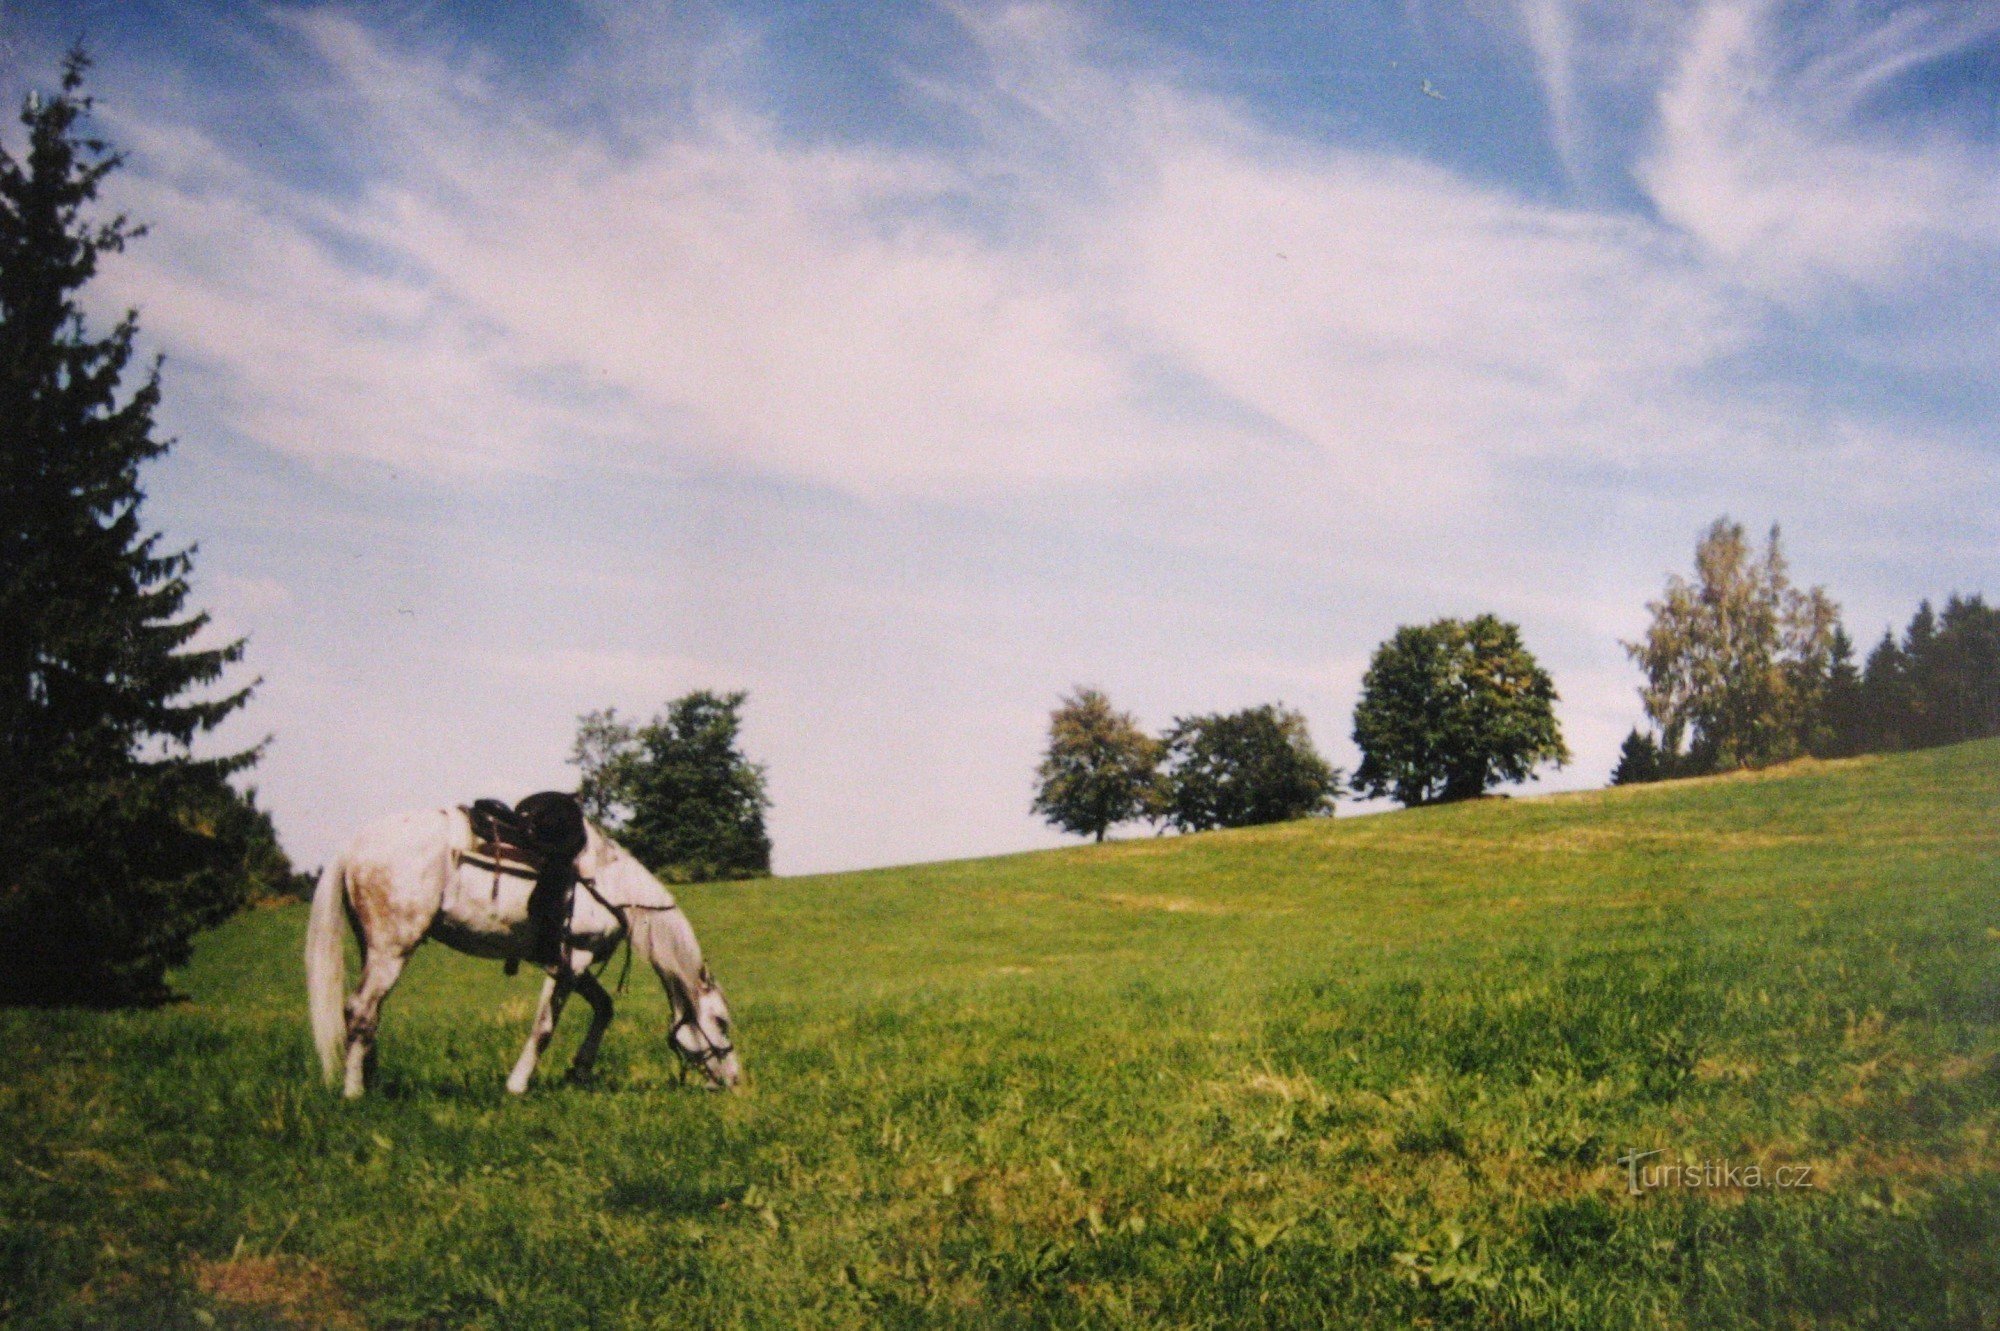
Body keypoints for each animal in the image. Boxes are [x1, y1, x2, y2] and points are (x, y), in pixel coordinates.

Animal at [296, 803, 736, 1095]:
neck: (611, 886)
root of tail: (352, 846)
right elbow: (544, 1027)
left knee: (371, 1014)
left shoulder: (571, 963)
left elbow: (604, 1008)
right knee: (361, 1011)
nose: (735, 1081)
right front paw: (518, 1084)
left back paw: (371, 1079)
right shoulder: (570, 962)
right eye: (721, 1022)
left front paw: (579, 1071)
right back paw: (355, 1093)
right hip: (392, 951)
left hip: (374, 948)